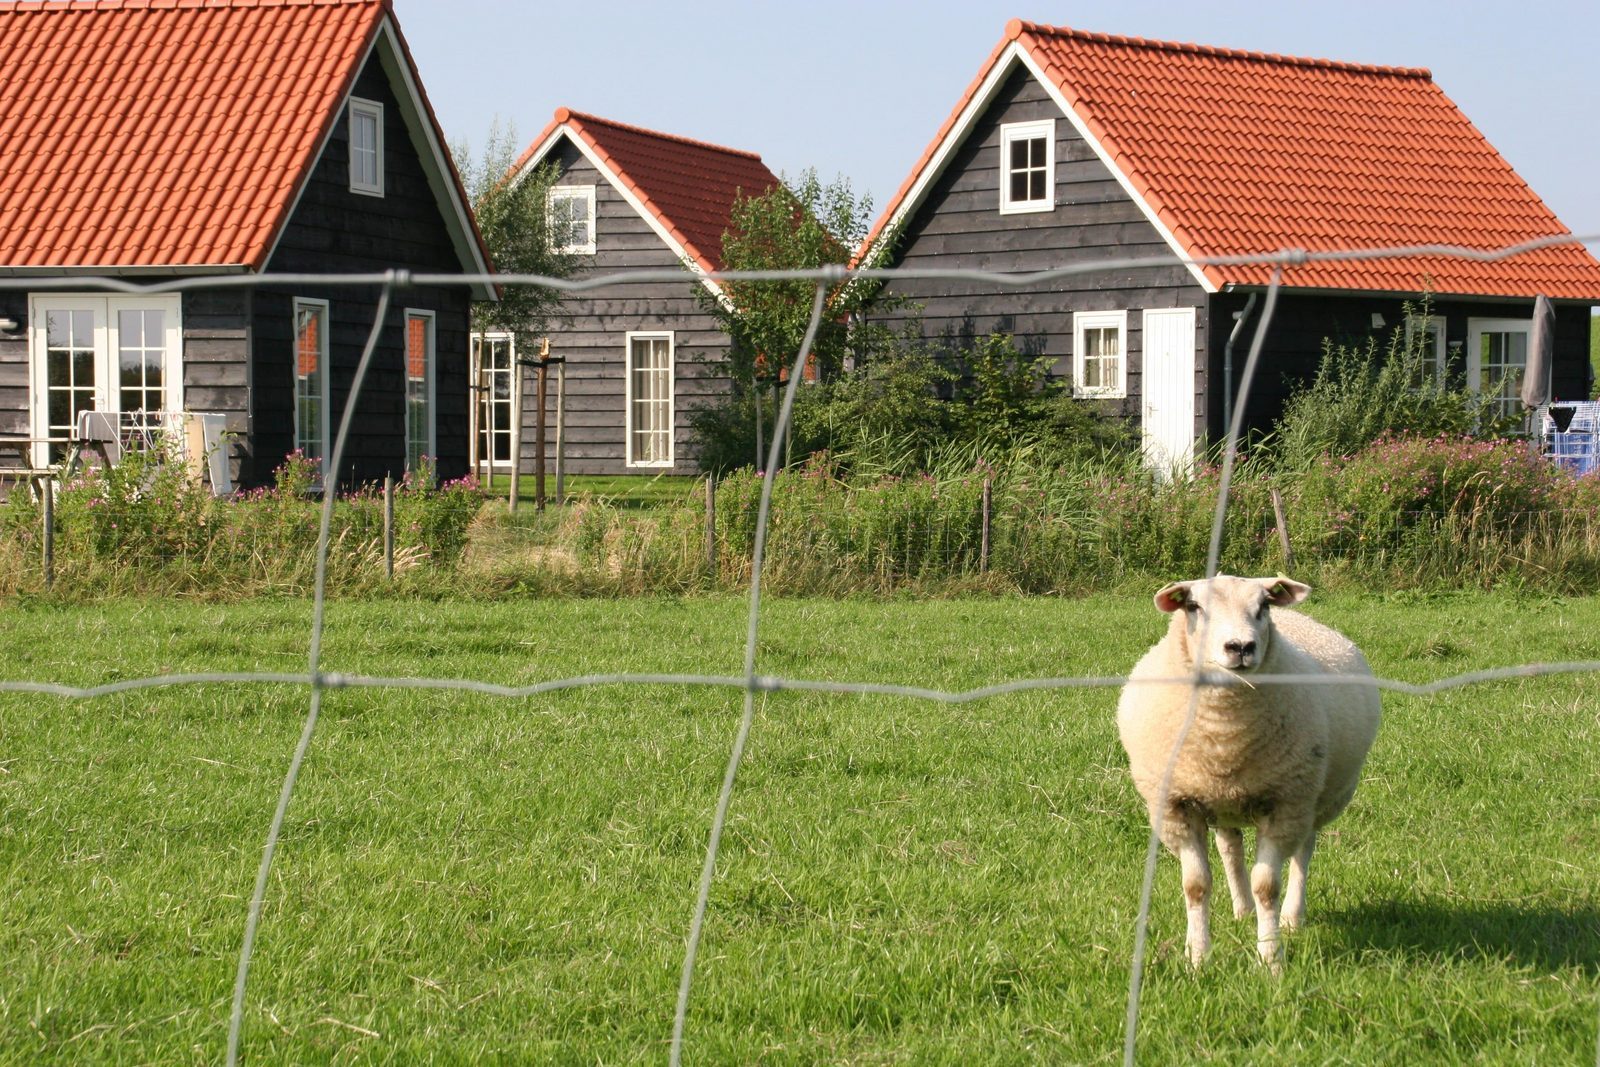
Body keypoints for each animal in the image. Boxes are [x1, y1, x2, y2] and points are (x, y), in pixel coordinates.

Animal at [1120, 575, 1382, 966]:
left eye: (1264, 606)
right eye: (1193, 606)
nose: (1241, 646)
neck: (1225, 735)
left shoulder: (1284, 804)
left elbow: (1267, 886)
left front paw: (1271, 958)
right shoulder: (1176, 806)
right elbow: (1195, 885)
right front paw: (1197, 957)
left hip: (1313, 801)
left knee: (1304, 852)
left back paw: (1291, 917)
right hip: (1221, 800)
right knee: (1230, 847)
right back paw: (1242, 910)